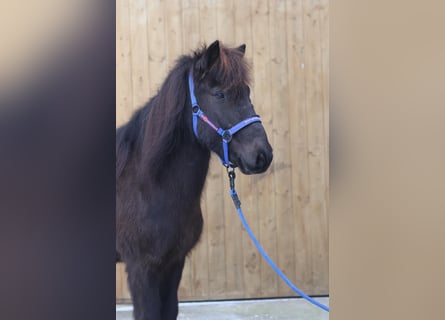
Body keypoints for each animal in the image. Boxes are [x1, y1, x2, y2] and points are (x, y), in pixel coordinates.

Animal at [116, 41, 272, 318]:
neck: (148, 185)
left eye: (247, 91)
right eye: (219, 94)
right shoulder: (141, 268)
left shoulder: (174, 263)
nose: (262, 155)